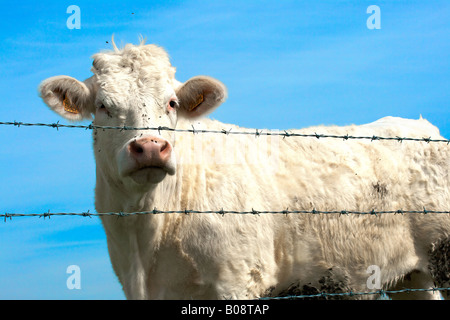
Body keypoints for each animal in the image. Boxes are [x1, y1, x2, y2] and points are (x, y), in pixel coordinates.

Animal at [39, 40, 450, 300]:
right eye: (103, 106)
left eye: (171, 103)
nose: (151, 147)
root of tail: (423, 129)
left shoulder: (238, 278)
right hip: (410, 277)